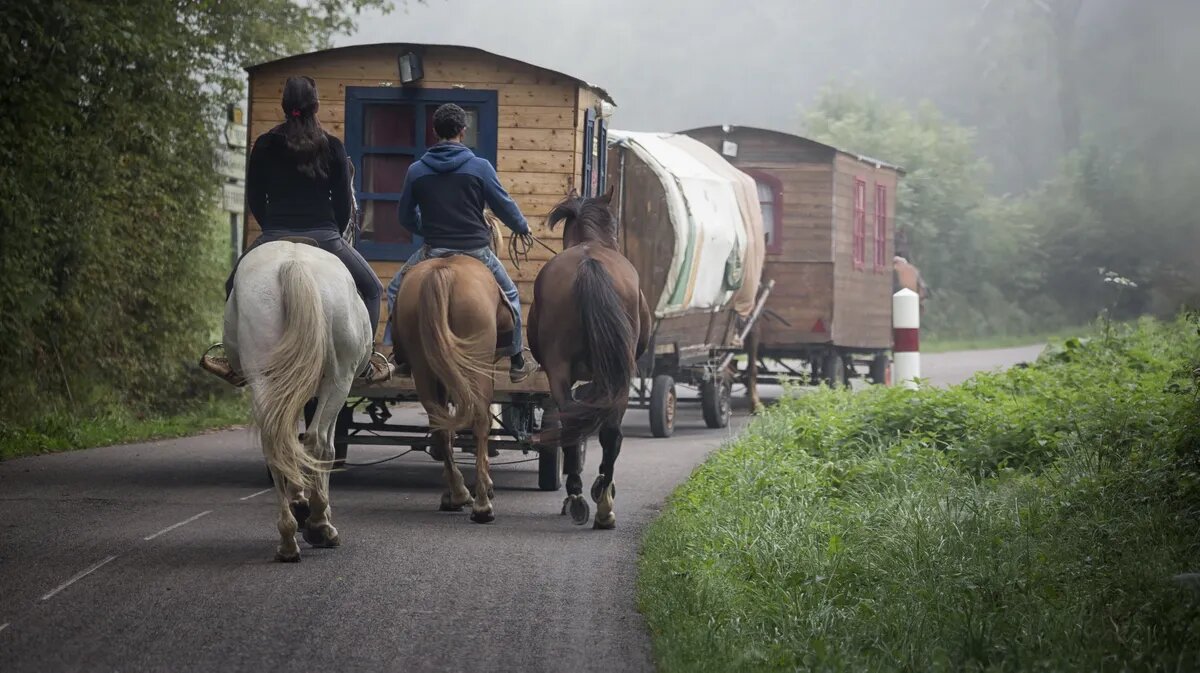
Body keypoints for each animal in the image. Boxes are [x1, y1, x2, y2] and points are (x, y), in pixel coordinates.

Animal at [223, 238, 372, 559]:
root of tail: (294, 263)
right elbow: (321, 446)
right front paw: (314, 514)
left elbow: (291, 441)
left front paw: (300, 503)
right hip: (338, 381)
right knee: (319, 443)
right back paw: (318, 526)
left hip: (264, 378)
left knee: (275, 443)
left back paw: (288, 538)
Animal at [388, 254, 511, 523]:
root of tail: (443, 272)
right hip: (476, 366)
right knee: (480, 420)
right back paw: (482, 503)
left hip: (423, 368)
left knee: (439, 425)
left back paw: (457, 494)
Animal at [530, 185, 652, 527]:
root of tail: (589, 264)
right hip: (615, 374)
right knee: (606, 431)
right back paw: (599, 501)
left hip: (563, 371)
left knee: (578, 422)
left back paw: (580, 497)